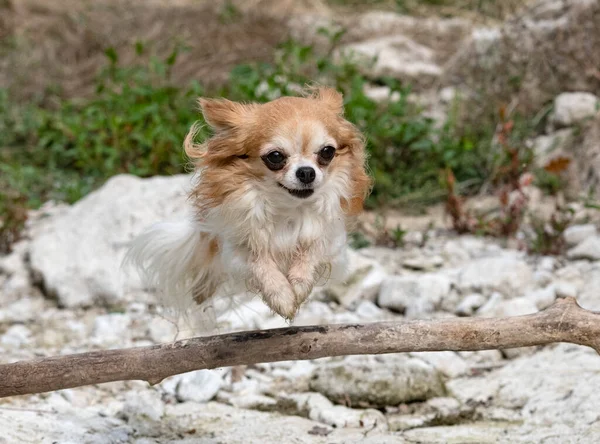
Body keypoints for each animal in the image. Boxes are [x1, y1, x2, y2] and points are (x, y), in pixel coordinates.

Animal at [125, 86, 370, 322]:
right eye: (275, 156)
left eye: (327, 152)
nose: (306, 172)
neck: (286, 207)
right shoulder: (235, 248)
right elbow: (259, 263)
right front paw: (282, 296)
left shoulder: (331, 241)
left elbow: (311, 250)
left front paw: (299, 284)